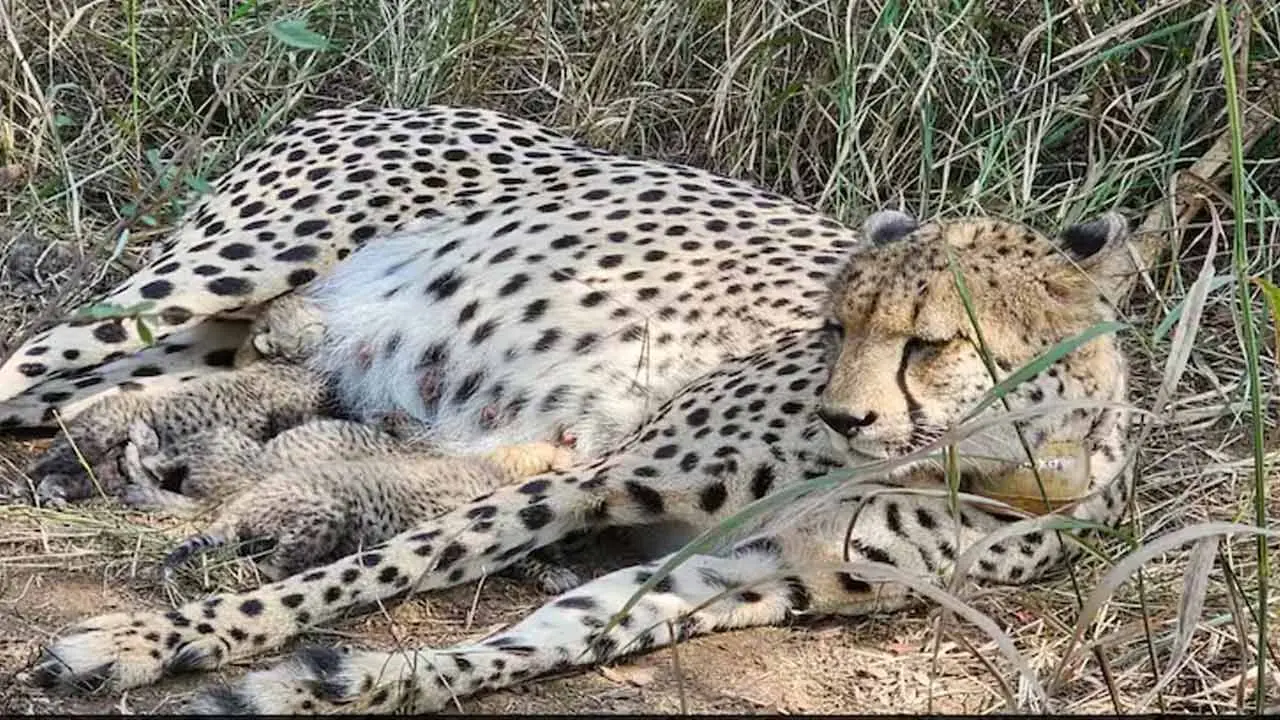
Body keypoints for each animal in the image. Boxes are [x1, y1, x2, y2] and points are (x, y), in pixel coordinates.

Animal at [0, 106, 1148, 714]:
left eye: (931, 343)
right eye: (835, 326)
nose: (842, 420)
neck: (990, 463)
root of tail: (381, 103)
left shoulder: (744, 575)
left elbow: (536, 641)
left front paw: (330, 683)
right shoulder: (595, 479)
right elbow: (374, 570)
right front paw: (153, 640)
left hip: (202, 341)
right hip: (205, 280)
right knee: (24, 364)